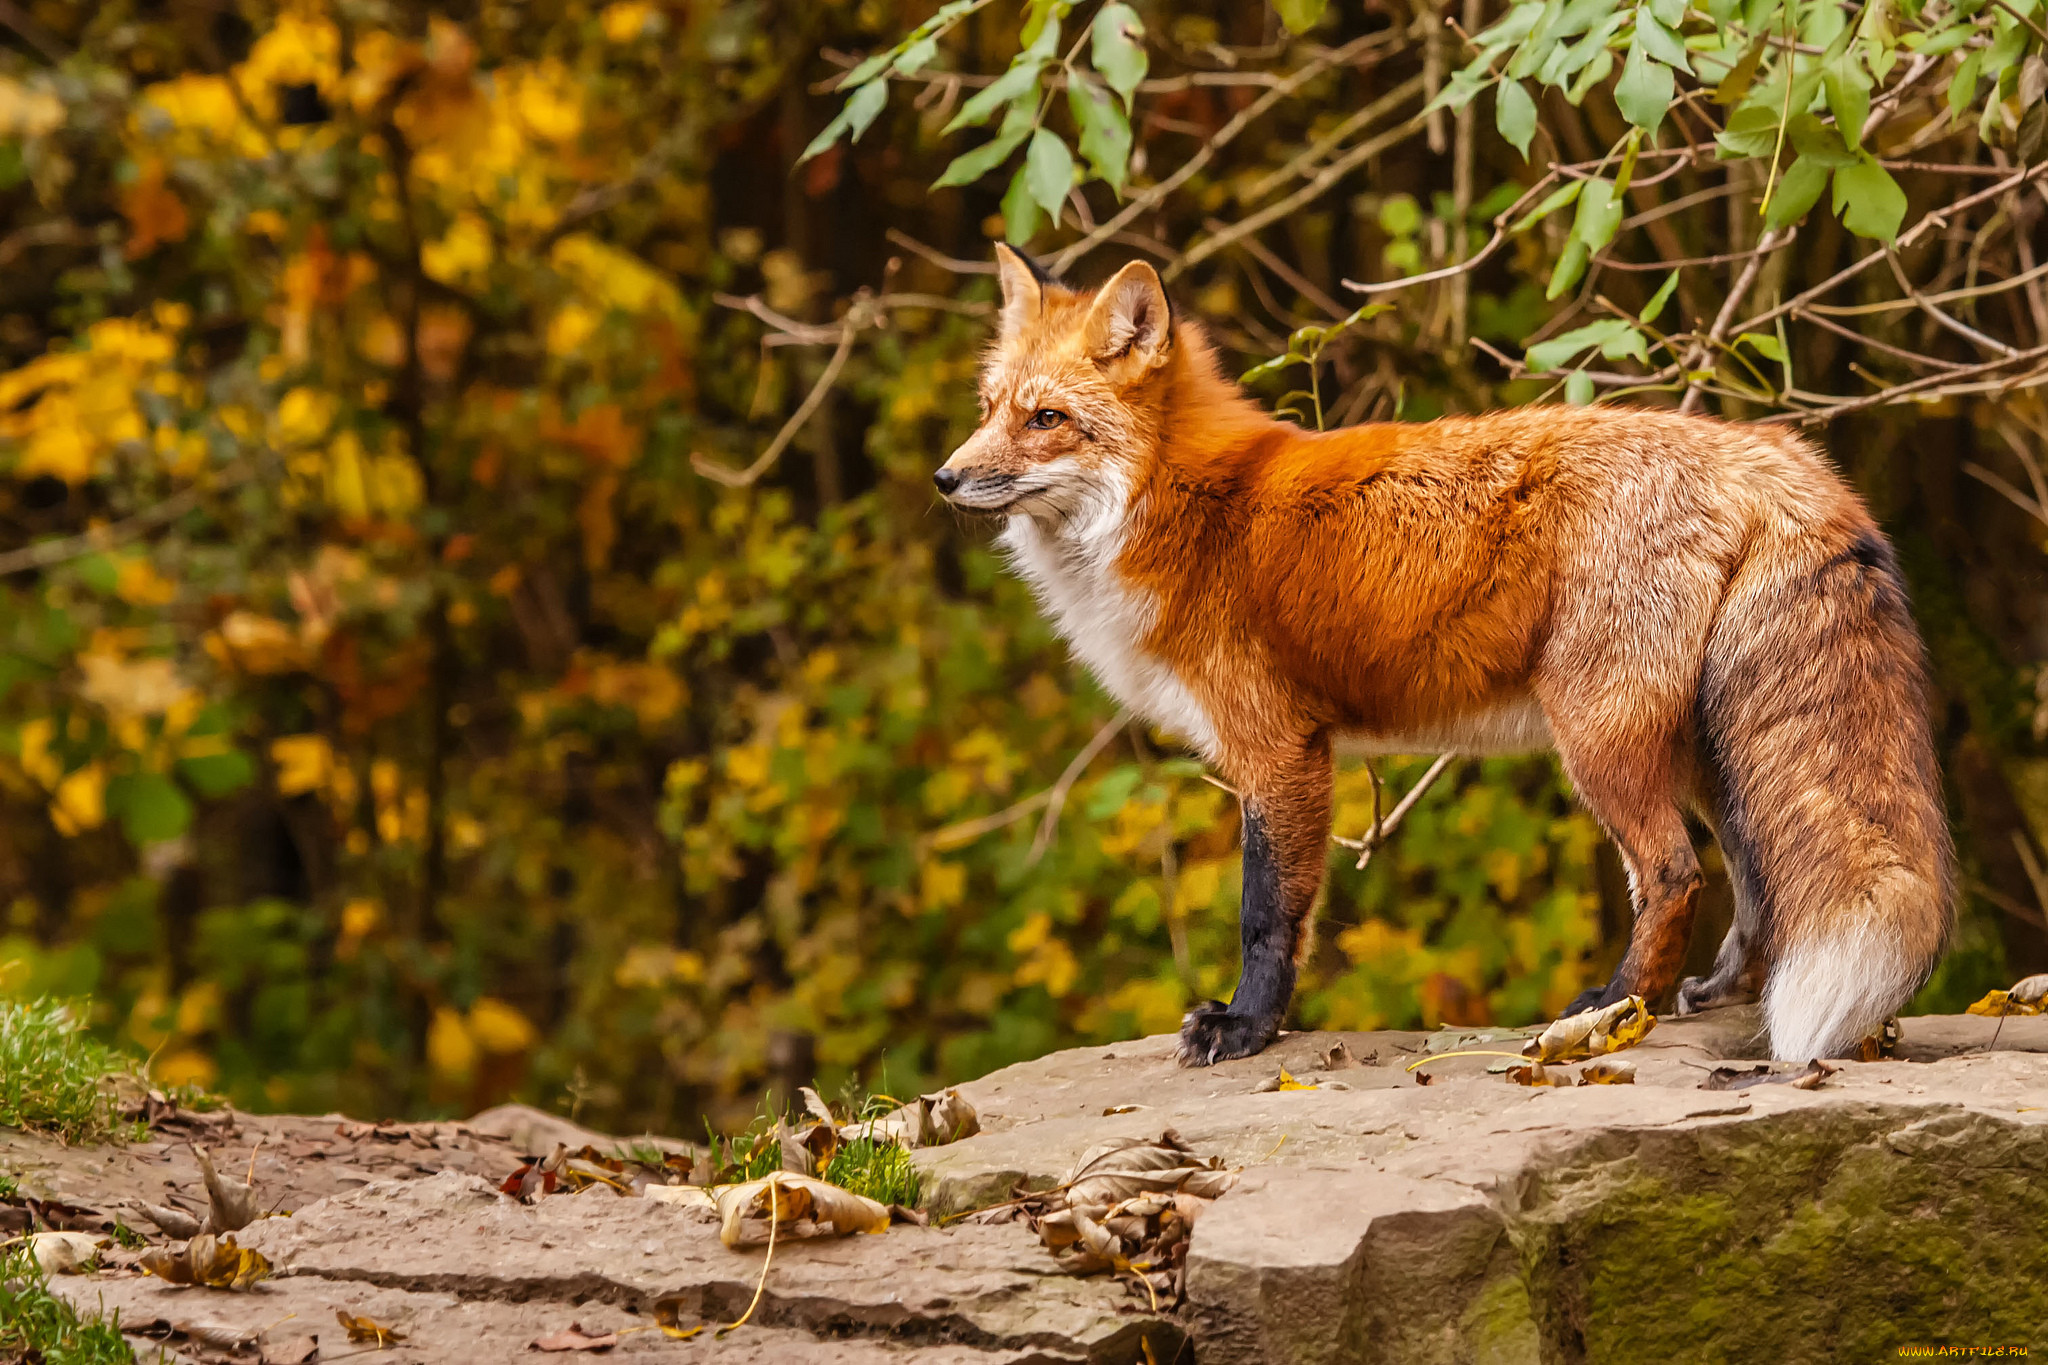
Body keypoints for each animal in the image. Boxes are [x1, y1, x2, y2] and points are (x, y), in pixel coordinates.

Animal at [937, 245, 1957, 1064]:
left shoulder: (1279, 750)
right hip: (1709, 745)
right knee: (1754, 883)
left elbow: (1268, 913)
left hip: (1599, 735)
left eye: (1045, 419)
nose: (946, 477)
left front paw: (1245, 1027)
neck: (1180, 504)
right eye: (987, 408)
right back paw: (1709, 995)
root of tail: (1769, 450)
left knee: (1675, 874)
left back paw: (1615, 1007)